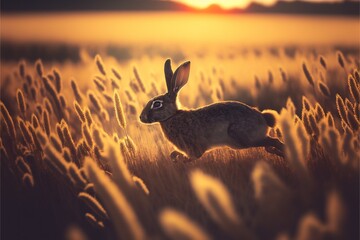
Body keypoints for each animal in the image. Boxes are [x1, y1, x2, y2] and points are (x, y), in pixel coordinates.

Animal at [141, 59, 284, 162]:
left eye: (157, 104)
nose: (141, 117)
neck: (172, 116)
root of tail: (263, 117)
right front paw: (173, 156)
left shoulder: (194, 149)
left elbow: (193, 157)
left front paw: (179, 159)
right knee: (269, 146)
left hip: (242, 138)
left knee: (274, 142)